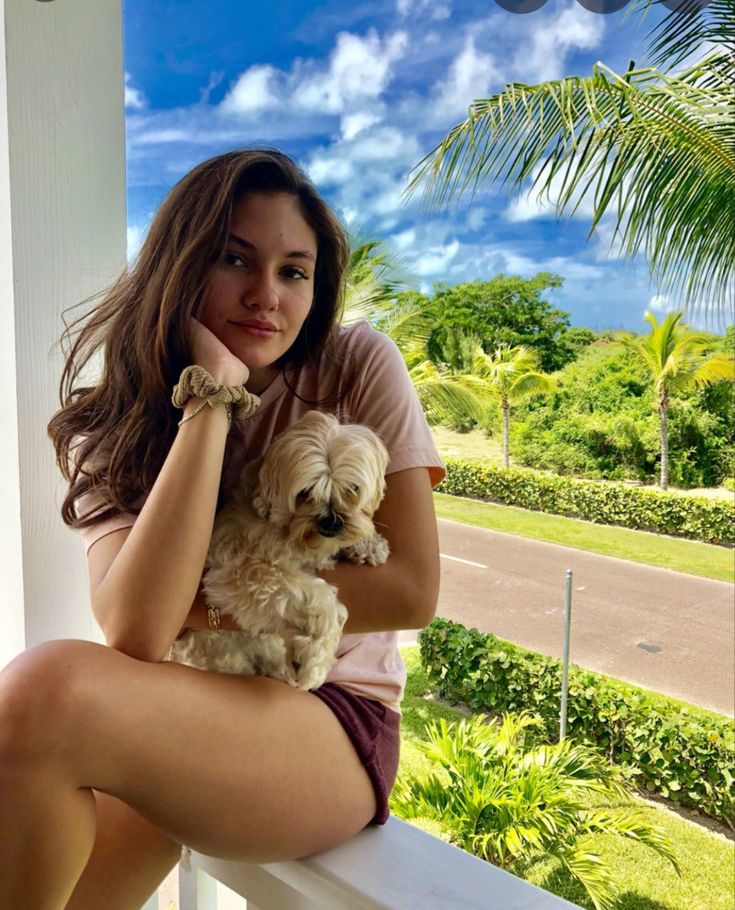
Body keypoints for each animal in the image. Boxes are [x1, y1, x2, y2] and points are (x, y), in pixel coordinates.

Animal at [167, 414, 392, 692]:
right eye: (305, 493)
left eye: (352, 488)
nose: (331, 520)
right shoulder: (241, 571)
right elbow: (320, 601)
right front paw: (312, 662)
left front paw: (370, 545)